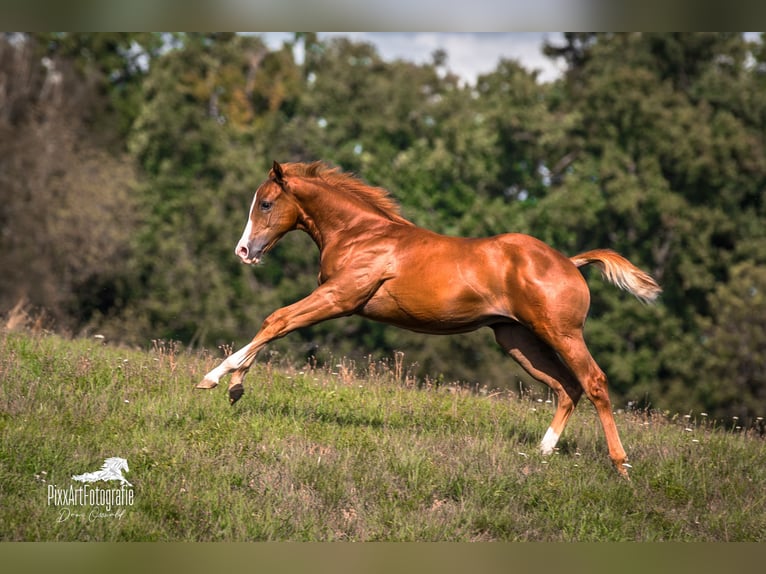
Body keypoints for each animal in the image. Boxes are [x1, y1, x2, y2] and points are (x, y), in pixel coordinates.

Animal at [197, 161, 661, 477]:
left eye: (266, 203)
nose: (244, 251)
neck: (361, 234)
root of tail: (570, 262)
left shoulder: (340, 297)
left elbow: (276, 320)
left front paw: (217, 378)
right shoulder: (334, 298)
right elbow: (277, 325)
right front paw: (235, 384)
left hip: (561, 332)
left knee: (593, 382)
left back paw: (621, 465)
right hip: (516, 339)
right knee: (566, 387)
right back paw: (541, 454)